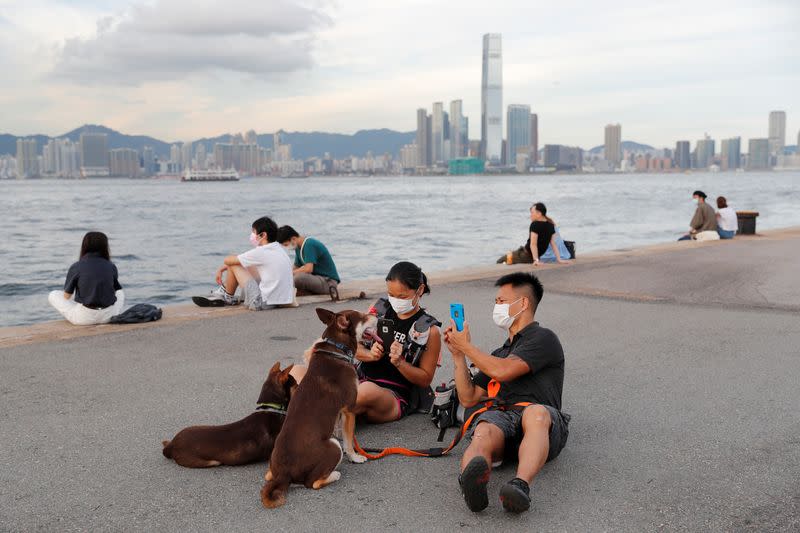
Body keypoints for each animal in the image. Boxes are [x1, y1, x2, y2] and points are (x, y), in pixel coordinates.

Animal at [260, 308, 376, 508]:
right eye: (363, 316)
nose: (378, 316)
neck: (336, 349)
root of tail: (284, 474)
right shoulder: (349, 410)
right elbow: (348, 440)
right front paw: (355, 457)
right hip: (333, 446)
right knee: (312, 483)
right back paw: (335, 474)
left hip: (273, 463)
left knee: (269, 475)